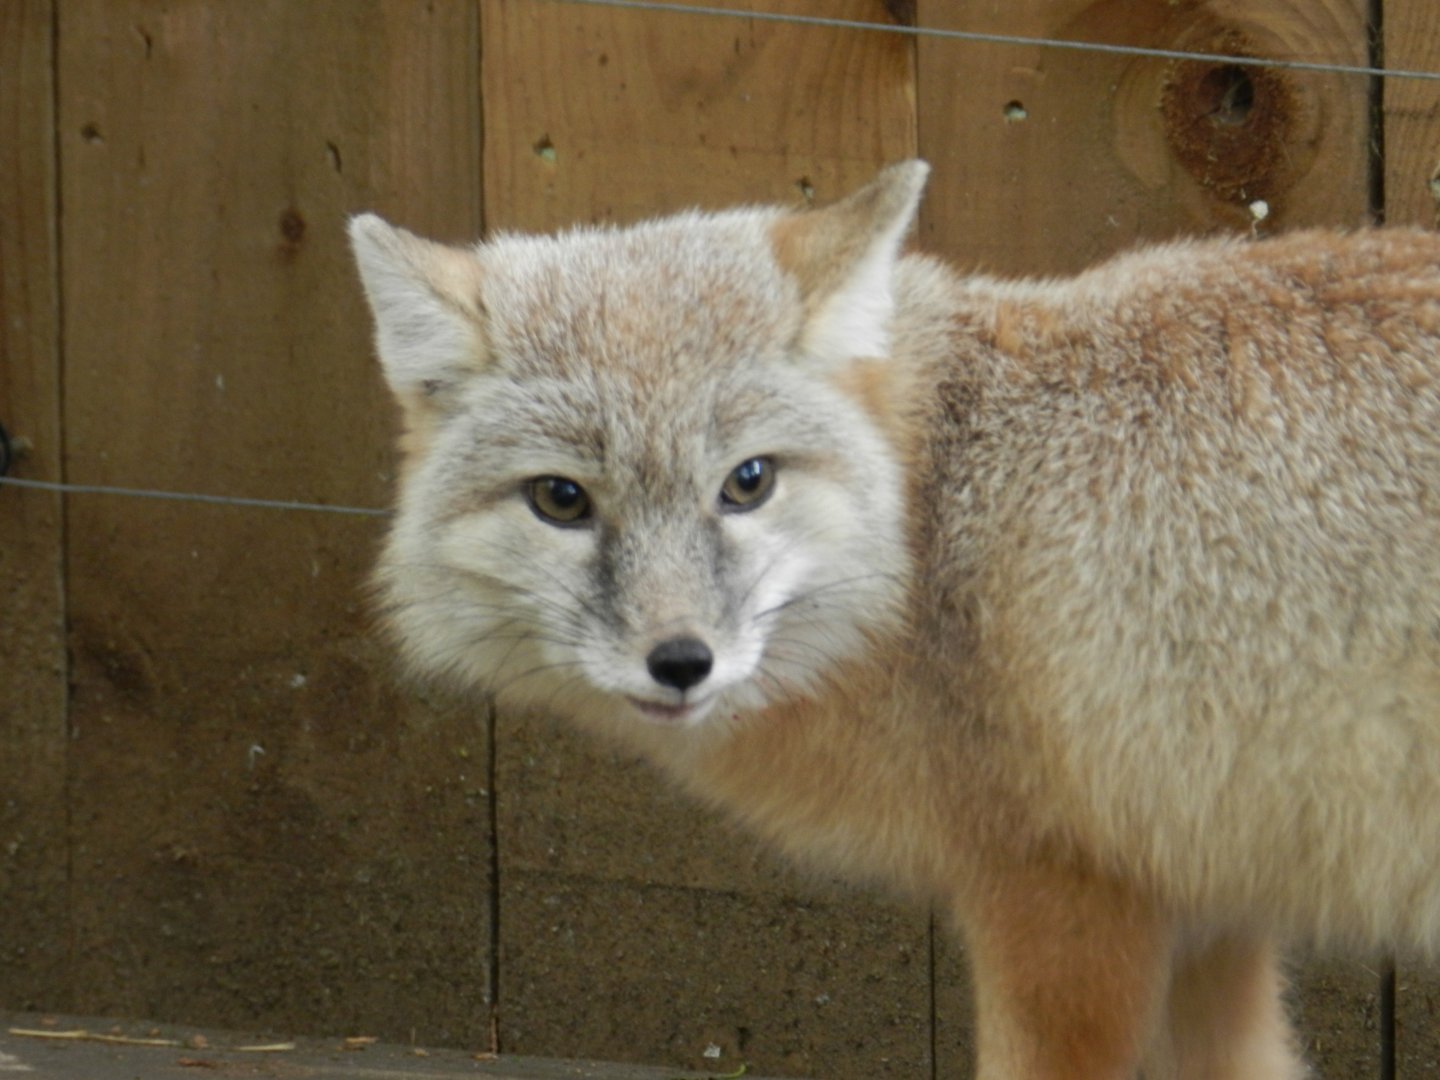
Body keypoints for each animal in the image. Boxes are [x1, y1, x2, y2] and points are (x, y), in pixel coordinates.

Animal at [348, 162, 1440, 1079]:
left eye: (747, 482)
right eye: (562, 500)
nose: (682, 661)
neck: (944, 505)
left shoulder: (1057, 904)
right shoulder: (1205, 900)